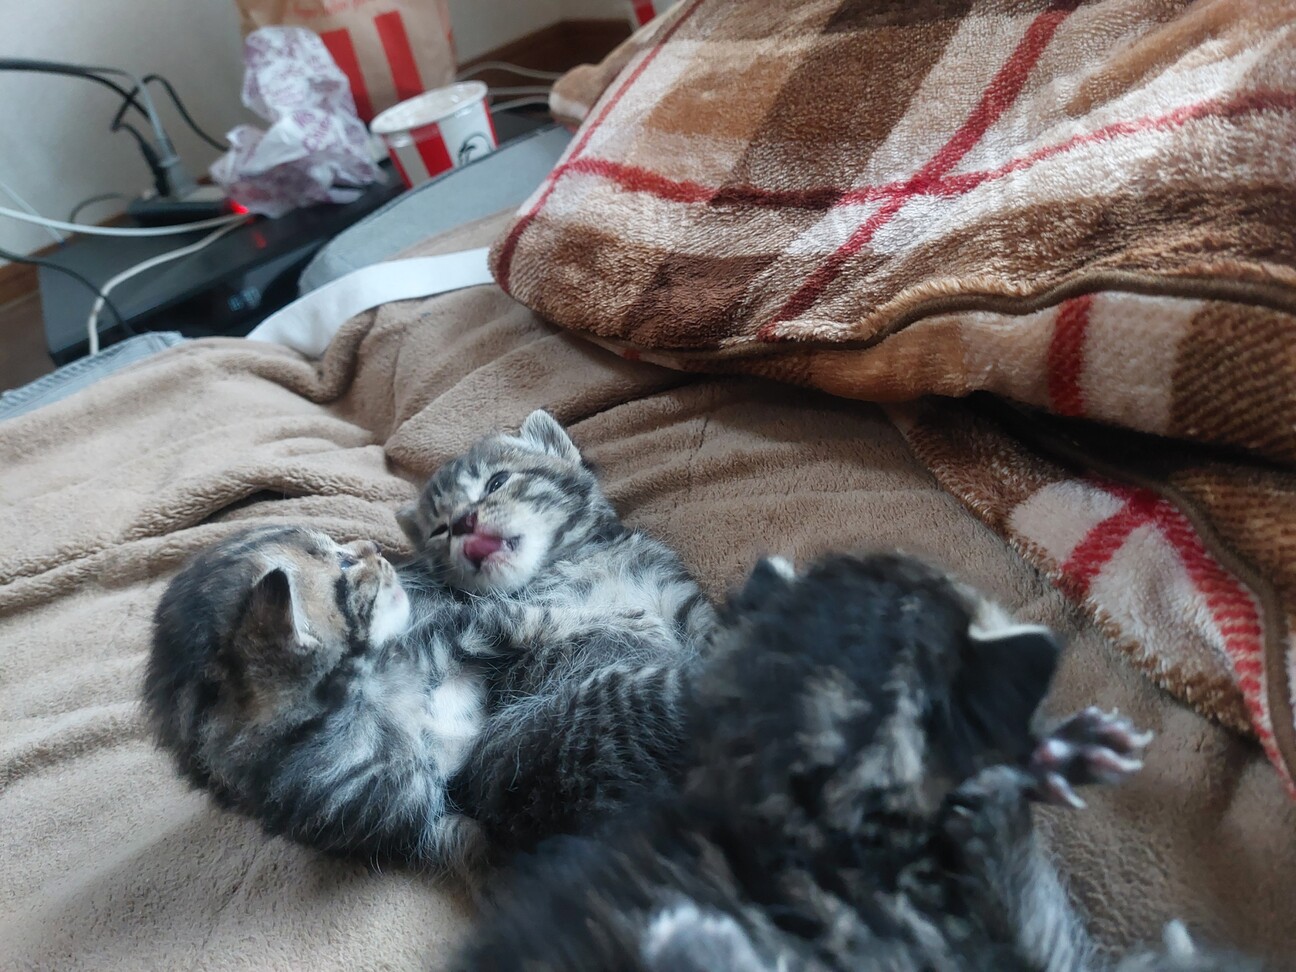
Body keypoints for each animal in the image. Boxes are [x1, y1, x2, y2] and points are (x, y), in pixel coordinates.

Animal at [398, 409, 717, 853]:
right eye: (439, 530)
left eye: (497, 482)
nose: (463, 522)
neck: (573, 560)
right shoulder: (524, 650)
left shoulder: (678, 593)